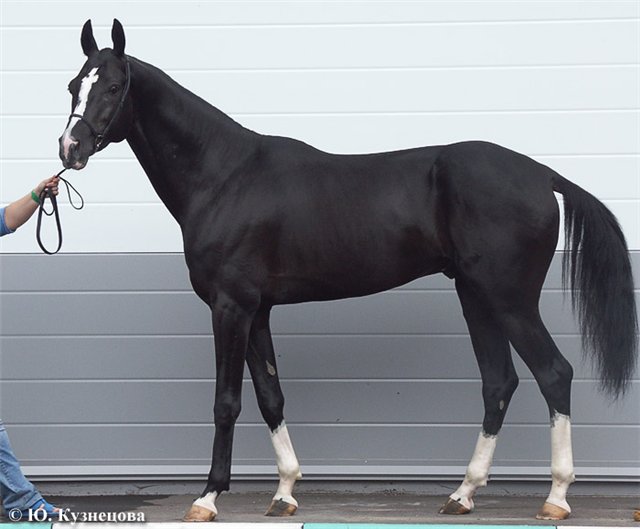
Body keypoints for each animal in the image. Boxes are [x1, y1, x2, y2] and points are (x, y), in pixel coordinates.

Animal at [58, 19, 636, 520]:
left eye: (113, 86)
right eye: (72, 85)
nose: (70, 148)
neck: (225, 176)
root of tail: (542, 174)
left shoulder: (231, 307)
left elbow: (227, 401)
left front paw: (208, 498)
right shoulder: (258, 310)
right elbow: (270, 396)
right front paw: (285, 492)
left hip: (509, 299)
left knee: (554, 374)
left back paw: (555, 498)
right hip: (476, 296)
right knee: (499, 382)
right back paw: (463, 493)